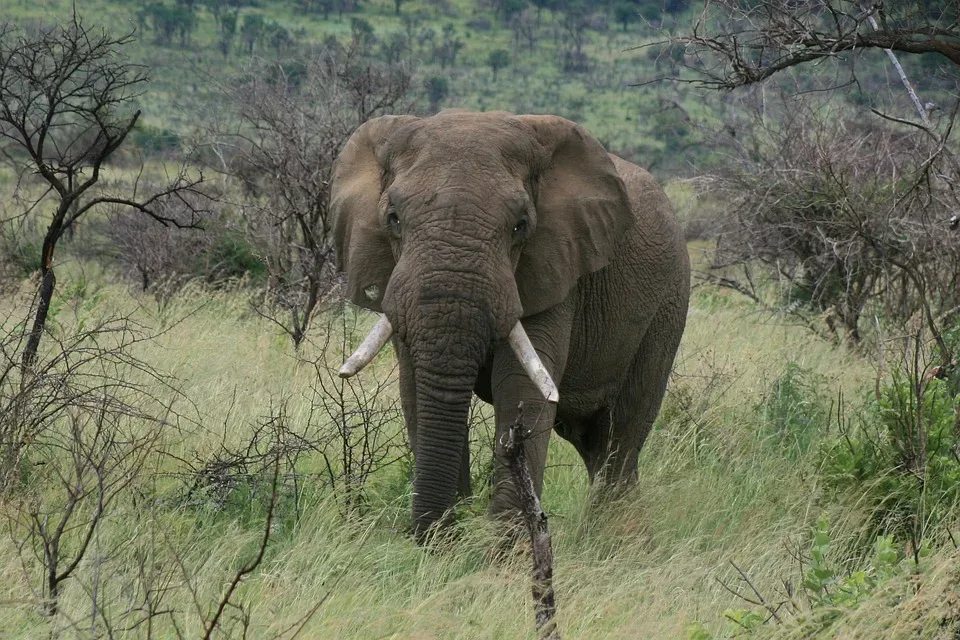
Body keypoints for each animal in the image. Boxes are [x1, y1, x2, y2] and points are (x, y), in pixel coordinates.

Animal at [330, 111, 688, 540]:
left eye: (520, 225)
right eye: (393, 218)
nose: (428, 535)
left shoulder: (555, 268)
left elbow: (519, 385)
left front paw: (504, 546)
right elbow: (415, 385)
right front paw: (450, 541)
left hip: (668, 304)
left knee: (621, 434)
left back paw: (614, 536)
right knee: (592, 440)